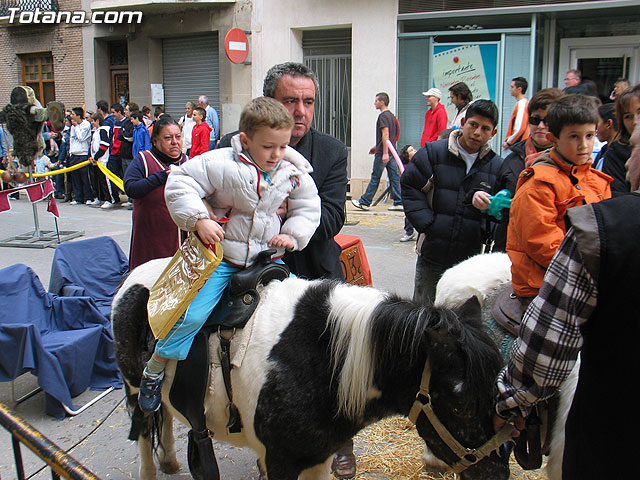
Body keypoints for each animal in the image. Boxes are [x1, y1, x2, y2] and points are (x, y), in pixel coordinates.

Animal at [110, 258, 510, 480]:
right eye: (459, 403)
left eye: (497, 391)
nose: (496, 472)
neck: (321, 361)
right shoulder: (280, 461)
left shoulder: (318, 457)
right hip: (134, 386)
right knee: (144, 427)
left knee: (163, 416)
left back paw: (171, 461)